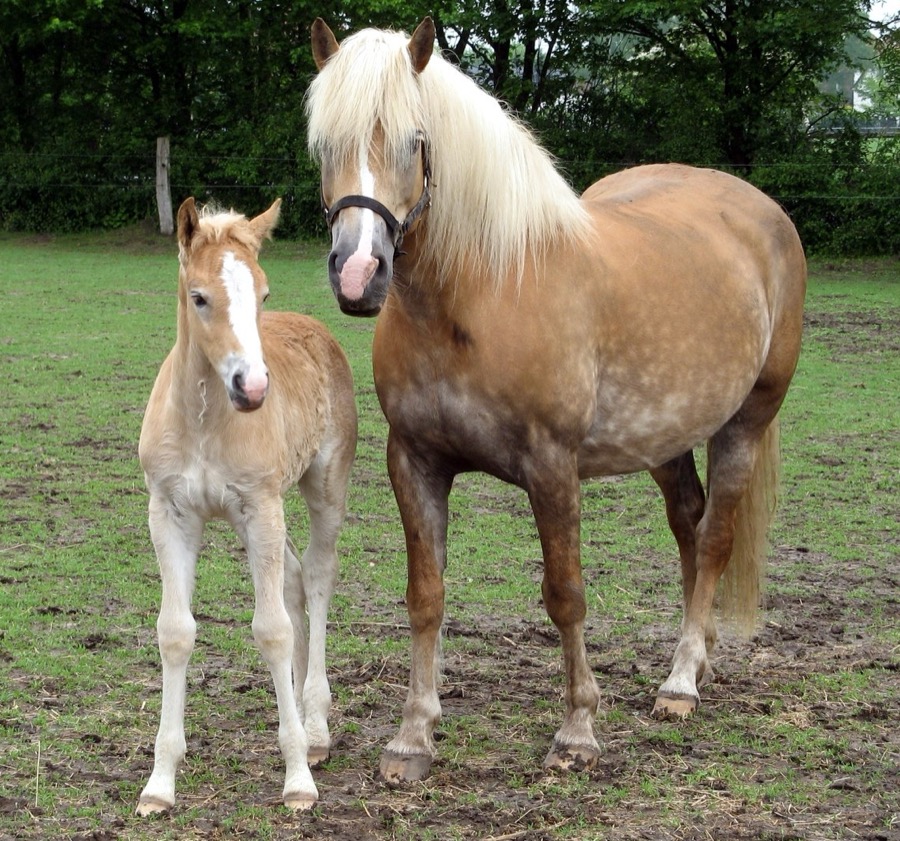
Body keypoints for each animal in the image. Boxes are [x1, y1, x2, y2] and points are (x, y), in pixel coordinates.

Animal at [136, 197, 357, 813]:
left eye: (262, 293)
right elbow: (175, 632)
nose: (253, 387)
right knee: (296, 580)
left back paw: (316, 729)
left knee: (319, 576)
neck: (205, 420)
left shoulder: (260, 506)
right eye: (198, 297)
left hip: (321, 487)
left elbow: (272, 630)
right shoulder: (170, 513)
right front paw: (159, 783)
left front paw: (297, 779)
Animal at [306, 18, 806, 783]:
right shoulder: (414, 461)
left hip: (747, 421)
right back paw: (699, 658)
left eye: (415, 141)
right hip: (663, 437)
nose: (360, 272)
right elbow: (426, 596)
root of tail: (762, 210)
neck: (481, 293)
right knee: (690, 526)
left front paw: (577, 730)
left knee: (717, 535)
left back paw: (681, 682)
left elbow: (566, 595)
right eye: (325, 143)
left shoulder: (552, 466)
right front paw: (412, 737)